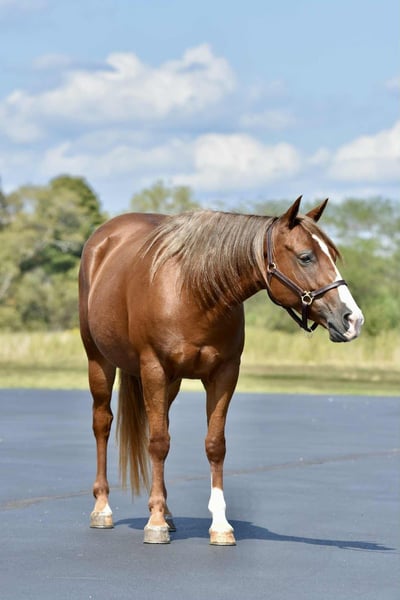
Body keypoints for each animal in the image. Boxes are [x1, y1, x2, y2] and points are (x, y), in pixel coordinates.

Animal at [79, 196, 364, 545]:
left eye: (333, 256)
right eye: (306, 257)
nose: (353, 319)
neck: (193, 292)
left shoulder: (224, 374)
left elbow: (214, 445)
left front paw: (219, 524)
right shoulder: (154, 369)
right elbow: (158, 443)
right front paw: (155, 523)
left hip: (171, 383)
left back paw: (168, 512)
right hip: (99, 361)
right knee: (103, 425)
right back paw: (103, 508)